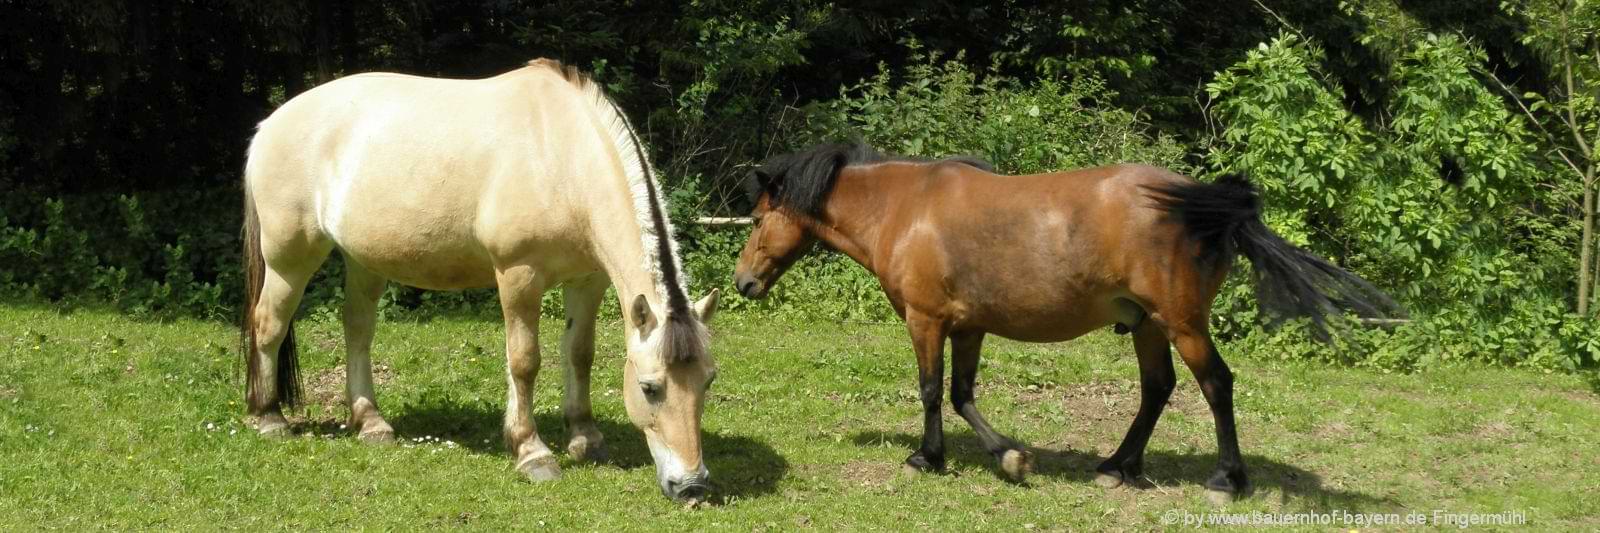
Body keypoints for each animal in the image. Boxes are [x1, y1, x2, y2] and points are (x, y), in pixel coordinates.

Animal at [240, 60, 723, 499]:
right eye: (650, 388)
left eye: (708, 381)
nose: (692, 485)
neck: (561, 155)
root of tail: (269, 126)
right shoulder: (519, 276)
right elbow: (524, 361)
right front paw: (532, 452)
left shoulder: (588, 281)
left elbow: (579, 354)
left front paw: (585, 437)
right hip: (290, 258)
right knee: (269, 324)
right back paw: (269, 418)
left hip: (364, 262)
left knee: (357, 329)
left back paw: (372, 424)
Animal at [732, 140, 1395, 499]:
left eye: (759, 220)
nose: (743, 283)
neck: (905, 208)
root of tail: (1205, 205)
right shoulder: (968, 325)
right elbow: (962, 394)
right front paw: (1009, 456)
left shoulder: (926, 321)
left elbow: (930, 391)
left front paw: (929, 457)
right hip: (1148, 325)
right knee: (1158, 389)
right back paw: (1118, 467)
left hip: (1181, 323)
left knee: (1215, 385)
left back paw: (1226, 478)